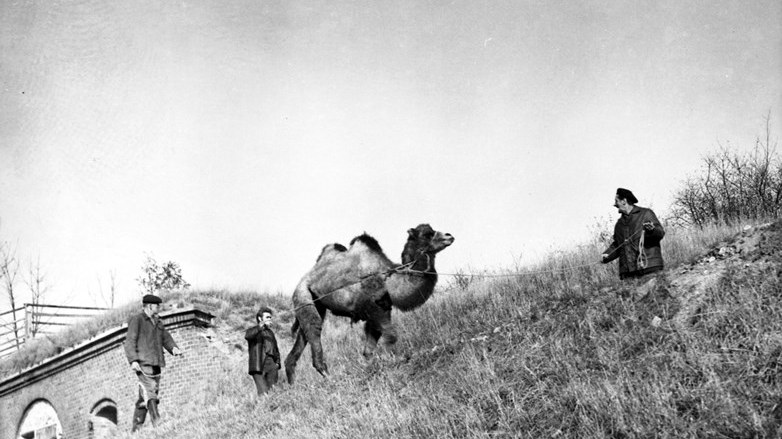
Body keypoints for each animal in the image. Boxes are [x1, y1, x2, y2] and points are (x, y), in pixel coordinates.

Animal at [284, 225, 454, 384]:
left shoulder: (383, 308)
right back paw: (329, 377)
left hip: (314, 303)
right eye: (427, 234)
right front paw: (390, 362)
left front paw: (372, 368)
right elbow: (391, 335)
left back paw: (293, 385)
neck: (389, 279)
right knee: (314, 327)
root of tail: (303, 280)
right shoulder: (371, 307)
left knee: (303, 335)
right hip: (302, 295)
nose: (449, 236)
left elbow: (369, 349)